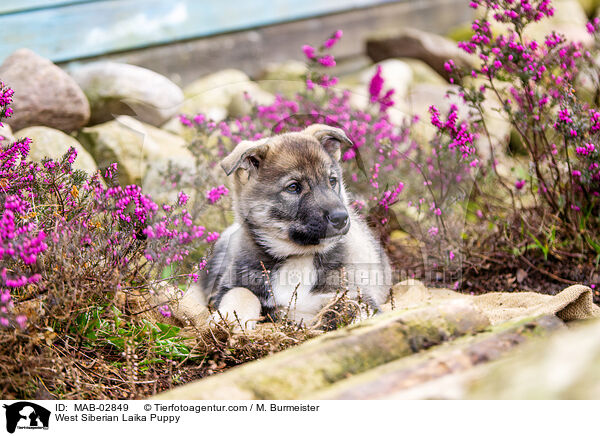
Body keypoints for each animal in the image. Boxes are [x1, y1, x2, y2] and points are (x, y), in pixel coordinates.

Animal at [199, 122, 392, 328]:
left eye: (332, 181)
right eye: (293, 187)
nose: (341, 218)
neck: (298, 256)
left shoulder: (352, 295)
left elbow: (359, 313)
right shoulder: (233, 284)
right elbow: (242, 292)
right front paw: (229, 319)